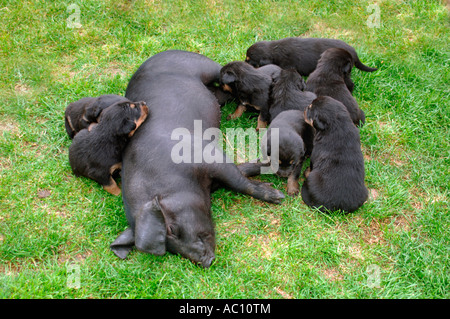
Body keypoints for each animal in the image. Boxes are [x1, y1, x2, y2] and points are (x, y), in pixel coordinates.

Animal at [244, 37, 378, 93]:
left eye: (249, 59)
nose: (243, 62)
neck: (275, 50)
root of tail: (353, 53)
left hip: (344, 72)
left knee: (350, 83)